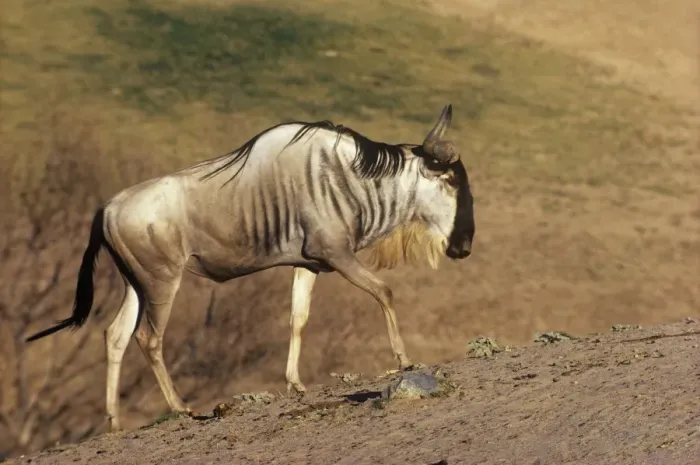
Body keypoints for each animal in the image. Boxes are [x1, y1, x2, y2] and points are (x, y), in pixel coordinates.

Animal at [26, 104, 475, 431]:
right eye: (452, 181)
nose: (465, 246)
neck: (348, 177)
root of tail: (108, 208)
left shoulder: (310, 264)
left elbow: (298, 318)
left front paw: (294, 382)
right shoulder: (338, 256)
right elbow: (384, 291)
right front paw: (404, 359)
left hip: (135, 285)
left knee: (115, 336)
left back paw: (115, 422)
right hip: (161, 282)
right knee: (148, 338)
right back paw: (181, 407)